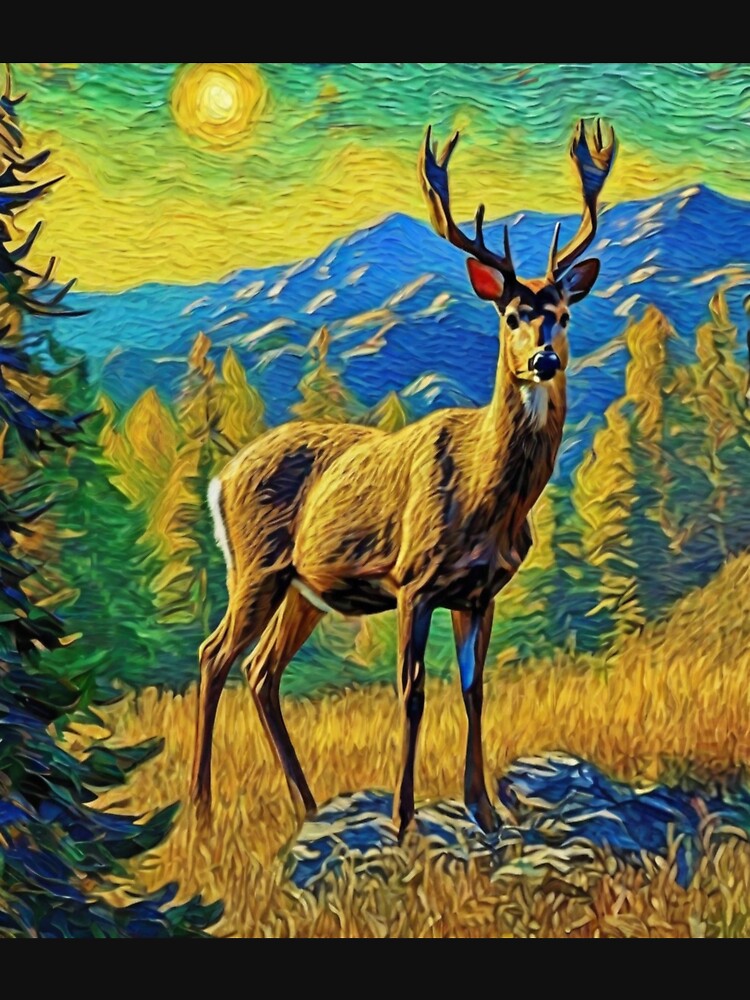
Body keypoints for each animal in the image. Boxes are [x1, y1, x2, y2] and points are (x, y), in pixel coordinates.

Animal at [191, 117, 616, 839]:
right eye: (512, 316)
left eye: (563, 314)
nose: (543, 360)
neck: (488, 499)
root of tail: (221, 480)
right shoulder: (413, 579)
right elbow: (413, 692)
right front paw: (403, 815)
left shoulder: (480, 592)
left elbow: (474, 691)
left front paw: (484, 810)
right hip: (256, 565)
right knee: (214, 655)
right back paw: (200, 808)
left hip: (304, 589)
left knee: (261, 670)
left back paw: (309, 803)